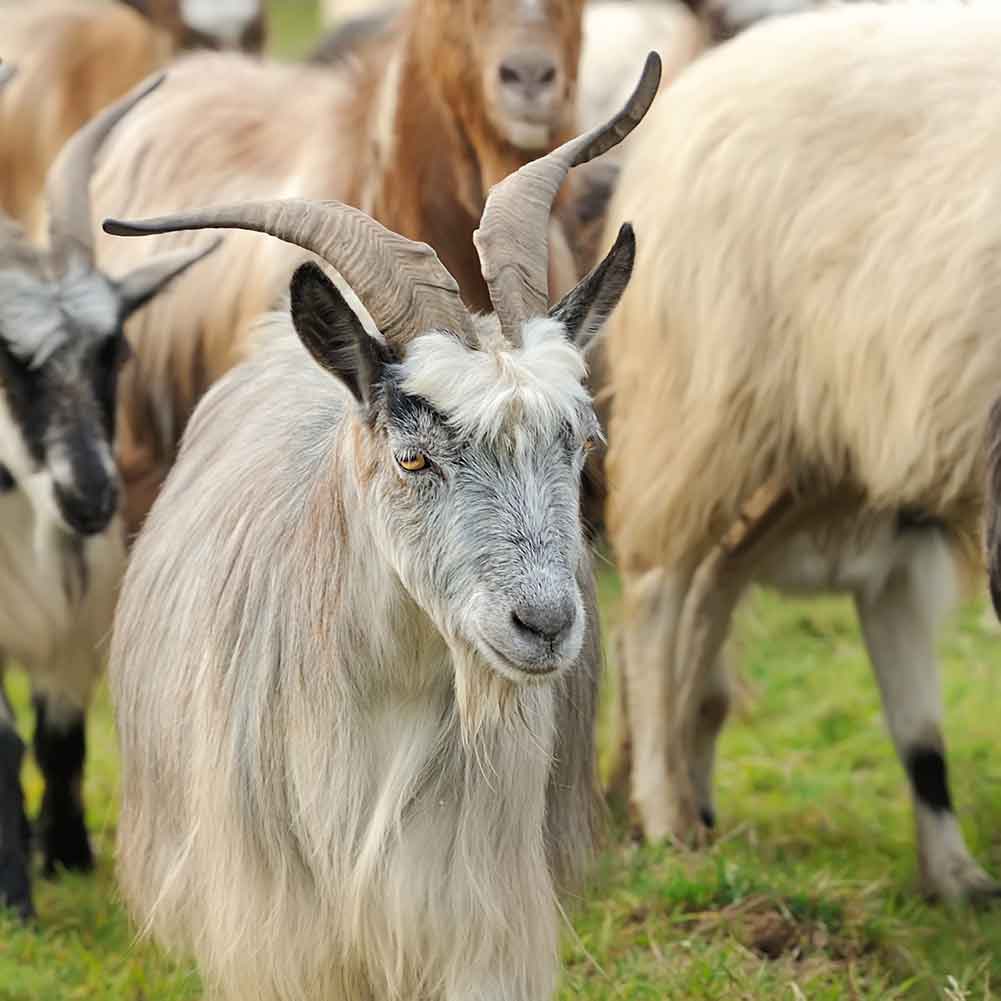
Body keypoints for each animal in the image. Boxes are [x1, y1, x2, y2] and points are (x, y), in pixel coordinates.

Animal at [0, 74, 217, 920]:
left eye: (114, 350)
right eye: (7, 359)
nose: (91, 497)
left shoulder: (79, 613)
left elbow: (60, 737)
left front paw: (65, 851)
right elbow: (6, 740)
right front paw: (17, 899)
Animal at [104, 53, 659, 1001]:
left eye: (581, 442)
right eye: (412, 458)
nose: (544, 624)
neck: (386, 703)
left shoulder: (479, 922)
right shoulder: (283, 934)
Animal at [604, 1, 1000, 902]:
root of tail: (703, 75)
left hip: (825, 443)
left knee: (717, 580)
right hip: (705, 402)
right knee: (657, 590)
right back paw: (663, 813)